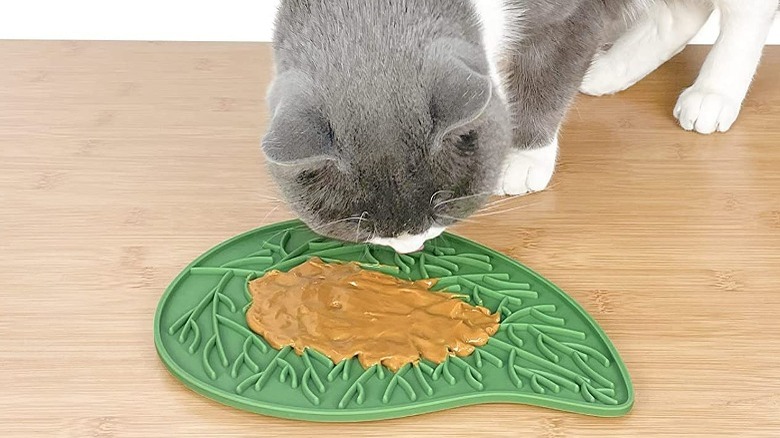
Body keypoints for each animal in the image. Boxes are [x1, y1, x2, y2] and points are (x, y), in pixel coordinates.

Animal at [266, 0, 656, 253]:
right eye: (362, 226)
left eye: (444, 206)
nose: (411, 246)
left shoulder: (574, 16)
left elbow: (549, 74)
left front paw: (526, 158)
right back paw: (609, 73)